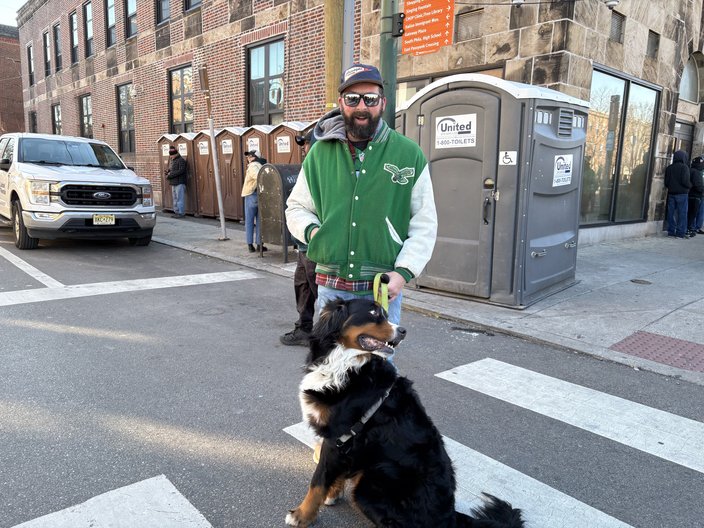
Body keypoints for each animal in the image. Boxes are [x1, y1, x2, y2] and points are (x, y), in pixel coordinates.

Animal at [284, 300, 524, 524]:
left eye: (385, 313)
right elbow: (335, 473)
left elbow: (318, 481)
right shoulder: (344, 443)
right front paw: (332, 494)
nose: (403, 331)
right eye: (373, 312)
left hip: (369, 486)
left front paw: (301, 515)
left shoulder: (338, 436)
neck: (346, 365)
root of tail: (450, 514)